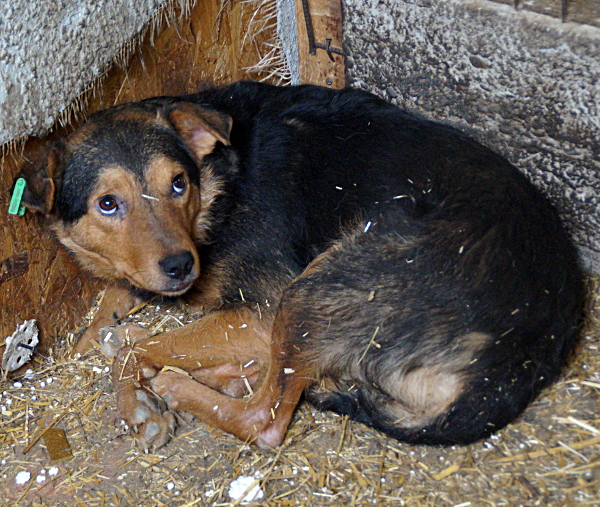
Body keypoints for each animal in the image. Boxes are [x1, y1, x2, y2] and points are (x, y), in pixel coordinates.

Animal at [16, 81, 584, 450]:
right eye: (108, 204)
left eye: (178, 183)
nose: (180, 266)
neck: (219, 181)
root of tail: (521, 358)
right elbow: (109, 314)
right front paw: (104, 329)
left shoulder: (261, 308)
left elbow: (134, 350)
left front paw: (137, 402)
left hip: (316, 289)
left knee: (264, 420)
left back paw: (180, 385)